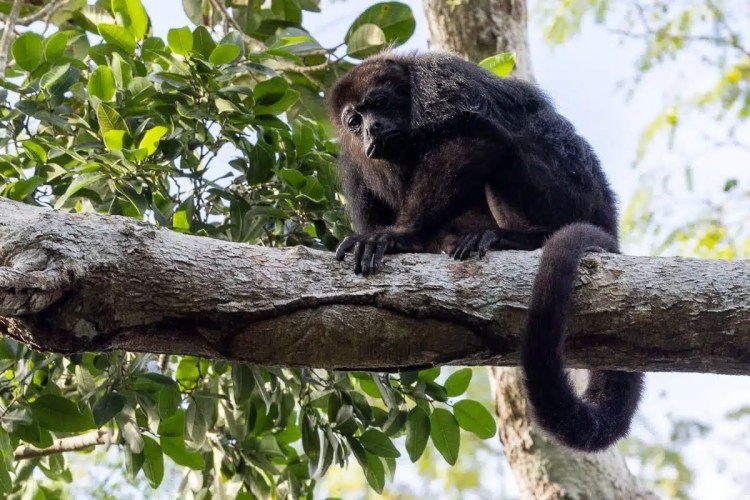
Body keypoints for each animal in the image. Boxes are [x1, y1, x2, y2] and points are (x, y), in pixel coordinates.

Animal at [325, 51, 644, 452]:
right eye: (354, 121)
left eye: (379, 103)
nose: (372, 129)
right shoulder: (352, 170)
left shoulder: (439, 78)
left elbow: (477, 134)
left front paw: (399, 234)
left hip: (577, 192)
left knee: (514, 136)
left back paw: (518, 238)